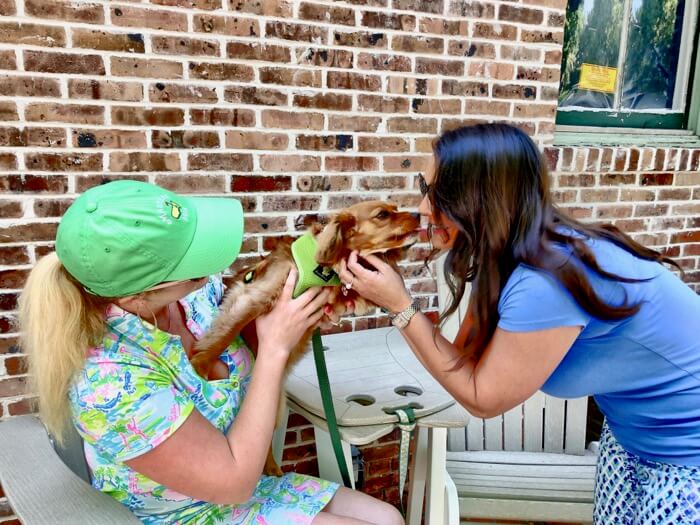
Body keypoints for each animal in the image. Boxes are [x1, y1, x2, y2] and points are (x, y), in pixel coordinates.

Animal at [189, 200, 418, 474]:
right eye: (382, 215)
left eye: (396, 208)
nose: (418, 214)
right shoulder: (259, 294)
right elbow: (229, 329)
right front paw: (201, 363)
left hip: (275, 405)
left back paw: (274, 469)